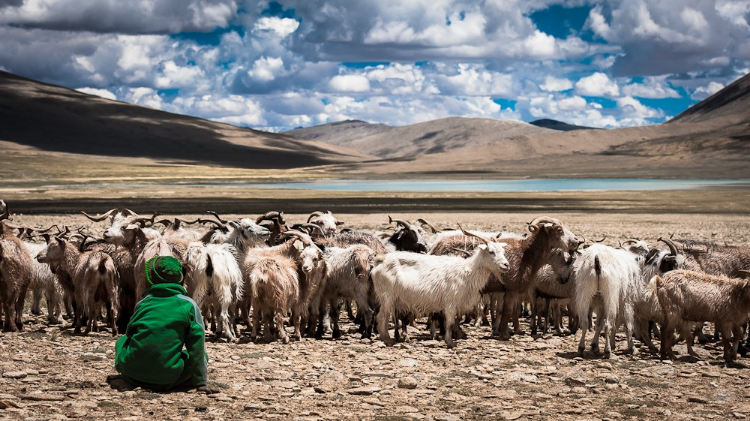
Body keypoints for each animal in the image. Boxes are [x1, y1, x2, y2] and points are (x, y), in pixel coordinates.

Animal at [372, 228, 512, 346]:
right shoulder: (450, 302)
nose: (506, 265)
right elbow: (449, 323)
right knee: (381, 316)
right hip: (387, 296)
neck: (467, 271)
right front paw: (450, 342)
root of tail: (381, 260)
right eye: (491, 252)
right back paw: (387, 339)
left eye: (503, 251)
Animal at [428, 217, 580, 338]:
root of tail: (435, 248)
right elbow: (507, 311)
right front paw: (504, 334)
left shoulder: (505, 291)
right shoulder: (511, 288)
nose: (576, 241)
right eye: (559, 230)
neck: (526, 254)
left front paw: (502, 330)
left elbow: (505, 310)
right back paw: (454, 332)